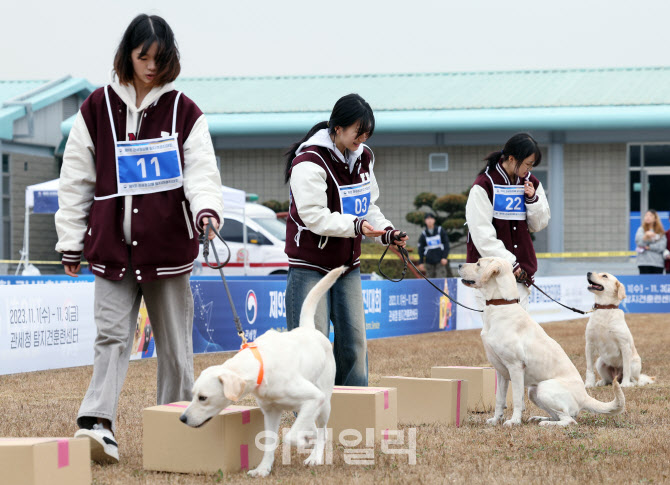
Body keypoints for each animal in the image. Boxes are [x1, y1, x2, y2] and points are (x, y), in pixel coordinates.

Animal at [180, 266, 342, 474]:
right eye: (192, 395)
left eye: (203, 398)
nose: (182, 418)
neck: (261, 365)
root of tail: (309, 329)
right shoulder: (271, 411)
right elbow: (270, 442)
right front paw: (263, 469)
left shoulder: (314, 397)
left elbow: (290, 437)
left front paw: (303, 442)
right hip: (303, 405)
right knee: (310, 423)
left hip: (324, 401)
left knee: (322, 431)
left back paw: (314, 456)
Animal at [460, 255, 628, 426]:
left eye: (478, 264)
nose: (459, 265)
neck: (500, 304)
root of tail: (584, 396)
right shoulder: (500, 371)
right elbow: (499, 399)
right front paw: (496, 420)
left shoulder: (515, 367)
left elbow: (517, 399)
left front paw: (514, 421)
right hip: (533, 391)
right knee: (562, 416)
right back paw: (541, 418)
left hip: (544, 388)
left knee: (569, 420)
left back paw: (546, 424)